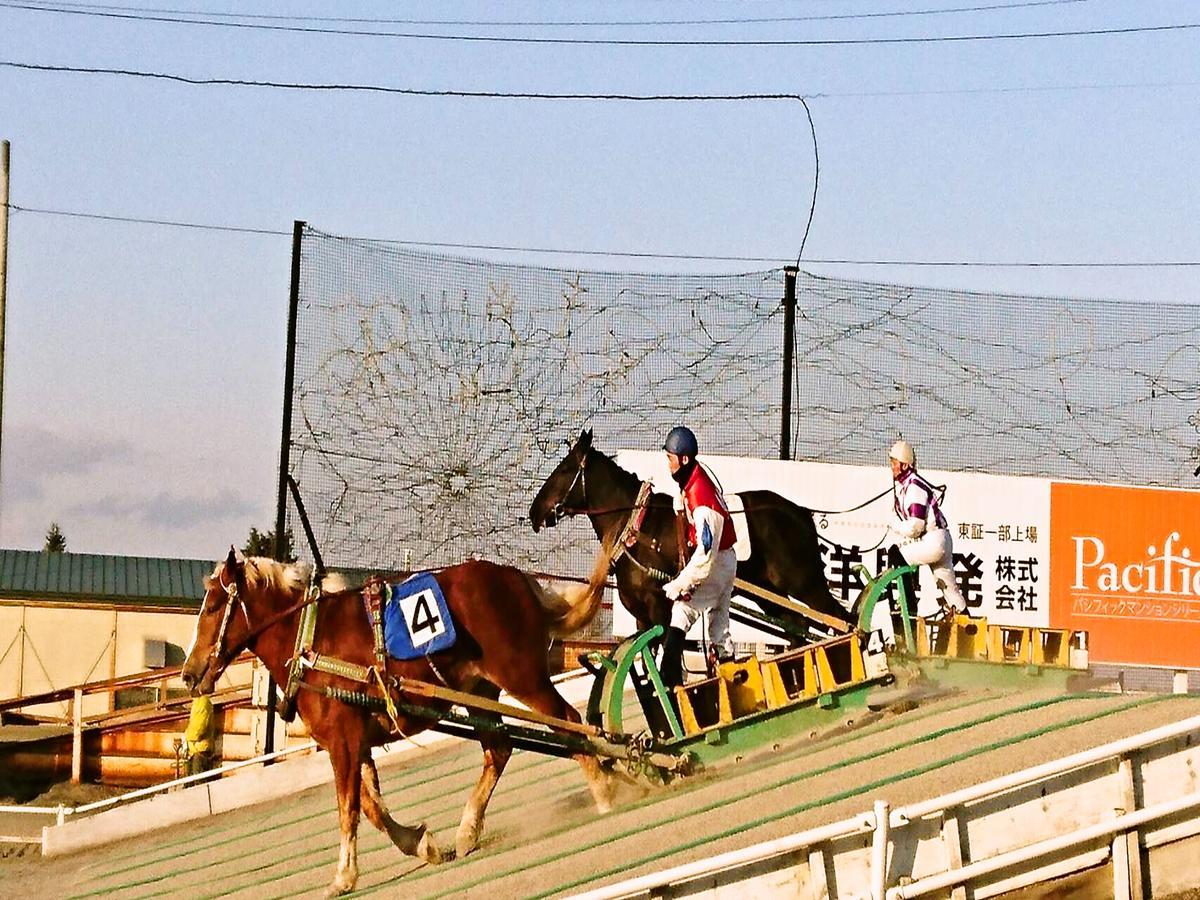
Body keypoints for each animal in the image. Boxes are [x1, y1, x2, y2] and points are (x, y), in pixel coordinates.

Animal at [184, 540, 619, 897]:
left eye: (212, 606)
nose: (189, 674)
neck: (310, 639)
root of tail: (519, 580)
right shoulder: (354, 743)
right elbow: (372, 808)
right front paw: (420, 844)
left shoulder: (343, 742)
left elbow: (349, 809)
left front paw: (344, 876)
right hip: (481, 693)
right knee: (499, 749)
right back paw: (468, 829)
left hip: (522, 677)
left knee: (569, 722)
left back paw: (604, 789)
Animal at [528, 429, 854, 643]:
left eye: (564, 469)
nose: (534, 512)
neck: (640, 528)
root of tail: (799, 512)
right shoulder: (642, 618)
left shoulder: (658, 610)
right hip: (771, 593)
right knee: (798, 626)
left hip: (806, 584)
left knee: (841, 621)